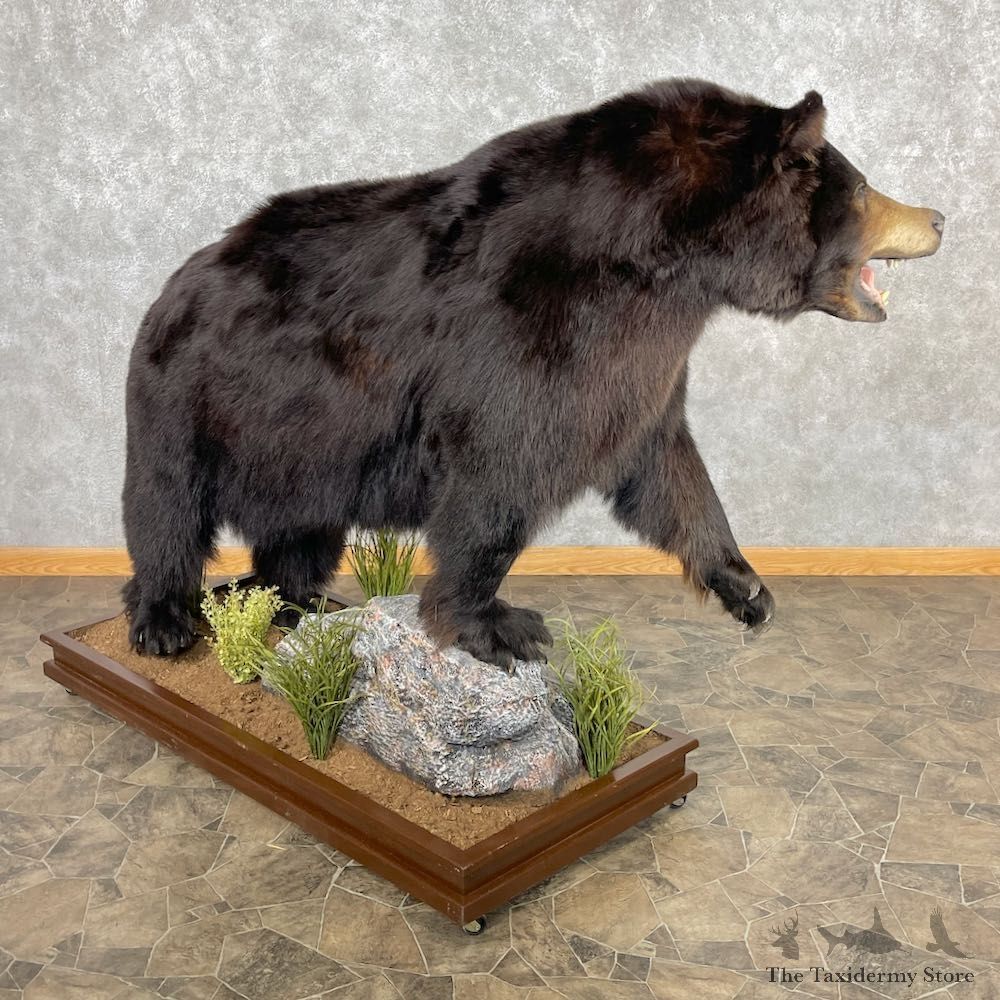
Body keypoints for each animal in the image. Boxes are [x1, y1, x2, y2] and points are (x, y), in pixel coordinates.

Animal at [122, 78, 943, 669]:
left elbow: (666, 469)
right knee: (164, 509)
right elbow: (499, 476)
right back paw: (167, 619)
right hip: (189, 401)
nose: (937, 217)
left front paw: (747, 587)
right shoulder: (532, 336)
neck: (658, 269)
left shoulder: (637, 365)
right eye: (861, 187)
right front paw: (498, 625)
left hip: (301, 441)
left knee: (300, 529)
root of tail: (178, 281)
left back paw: (300, 599)